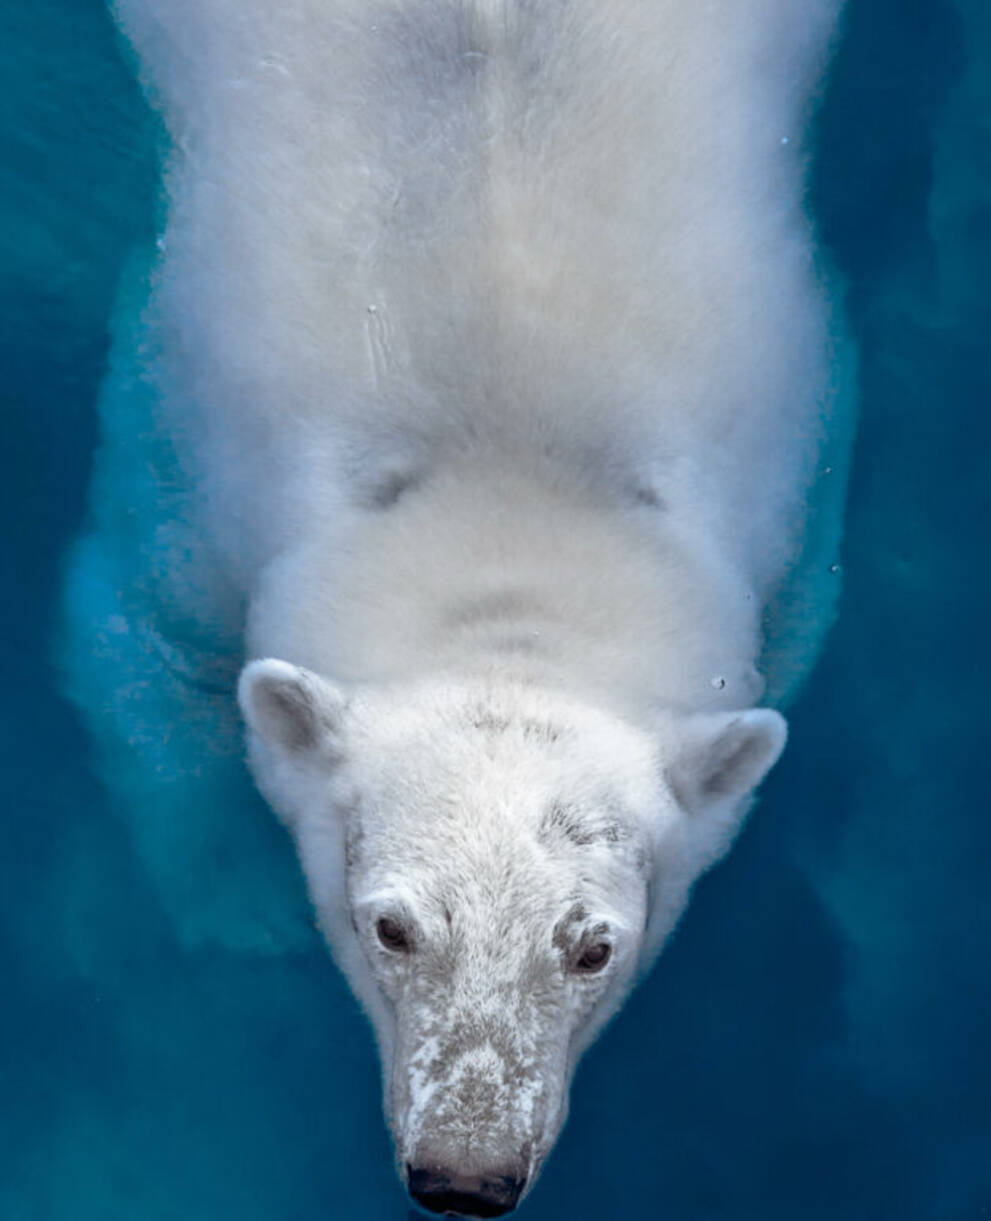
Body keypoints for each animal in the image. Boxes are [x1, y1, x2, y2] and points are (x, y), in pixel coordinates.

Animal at [98, 0, 844, 1211]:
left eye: (591, 946)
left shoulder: (791, 488)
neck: (507, 467)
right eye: (392, 927)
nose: (464, 1176)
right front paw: (234, 901)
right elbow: (146, 631)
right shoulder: (194, 460)